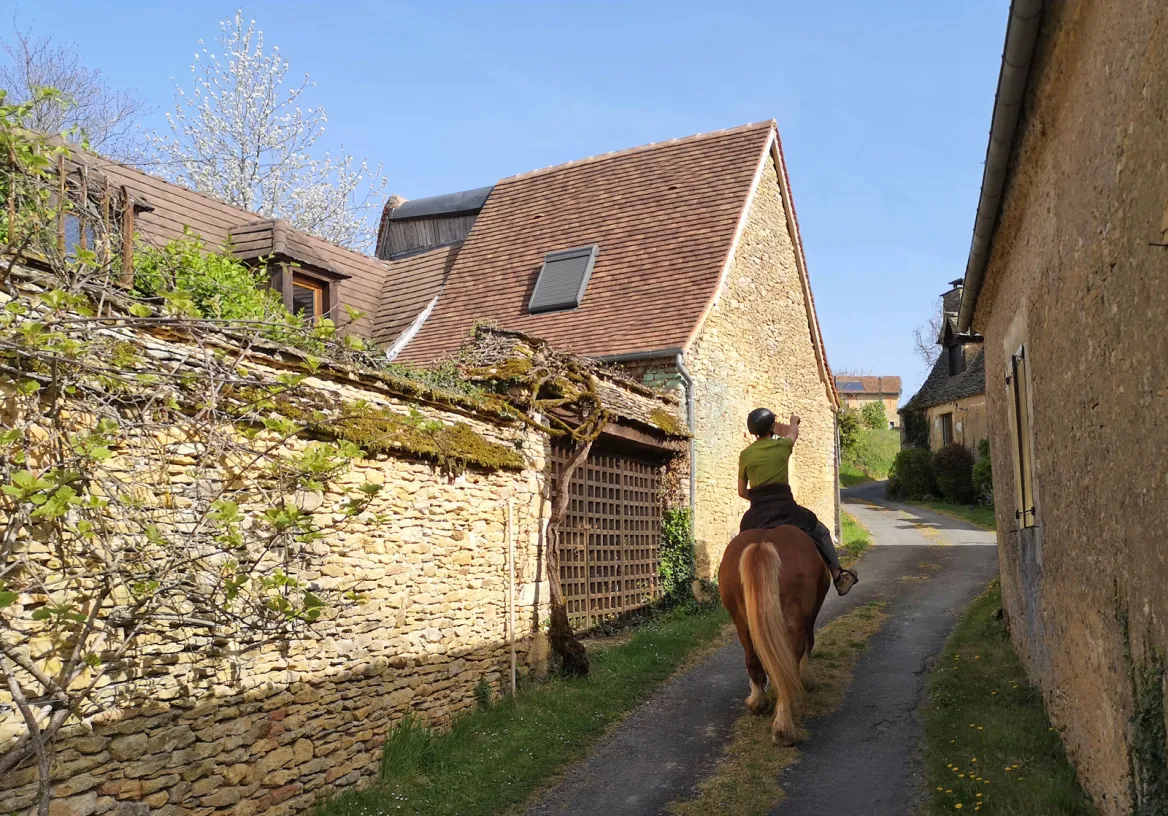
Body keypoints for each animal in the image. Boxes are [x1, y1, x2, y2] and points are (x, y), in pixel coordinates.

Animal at [718, 525, 830, 744]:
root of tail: (762, 544)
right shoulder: (810, 615)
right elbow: (809, 642)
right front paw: (807, 679)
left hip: (740, 618)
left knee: (753, 658)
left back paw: (758, 702)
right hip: (795, 617)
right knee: (790, 660)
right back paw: (784, 728)